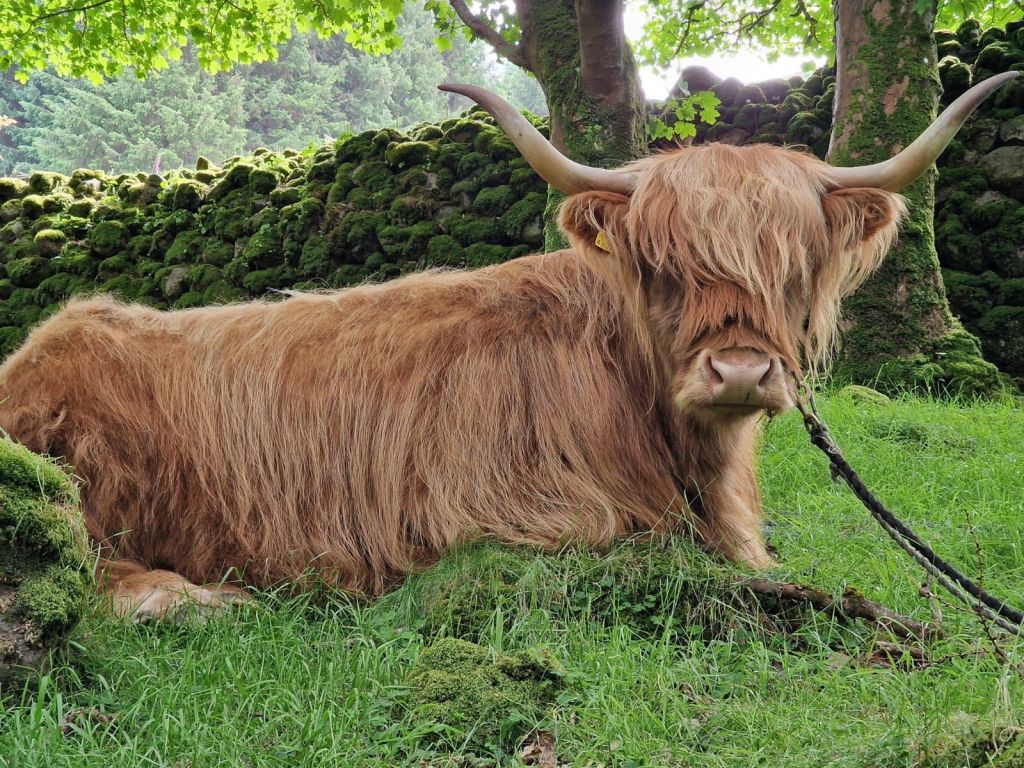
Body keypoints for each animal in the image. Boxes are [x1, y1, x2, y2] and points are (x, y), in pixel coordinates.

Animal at [0, 73, 1015, 621]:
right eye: (663, 264)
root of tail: (44, 344)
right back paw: (190, 600)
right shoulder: (500, 510)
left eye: (792, 263)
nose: (739, 370)